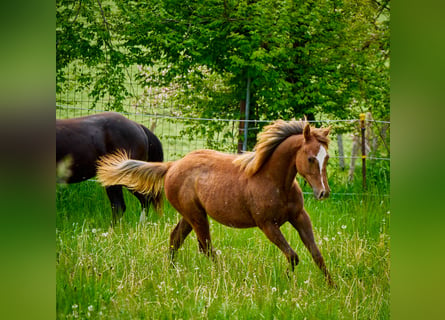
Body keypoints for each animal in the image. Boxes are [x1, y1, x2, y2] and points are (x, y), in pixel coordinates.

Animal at [98, 119, 332, 284]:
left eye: (327, 158)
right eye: (311, 158)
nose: (323, 193)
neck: (272, 179)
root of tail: (172, 166)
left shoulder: (299, 217)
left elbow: (316, 254)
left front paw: (332, 287)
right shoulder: (267, 225)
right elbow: (293, 256)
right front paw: (287, 280)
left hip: (189, 216)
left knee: (176, 238)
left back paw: (172, 271)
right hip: (197, 217)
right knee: (206, 248)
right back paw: (223, 276)